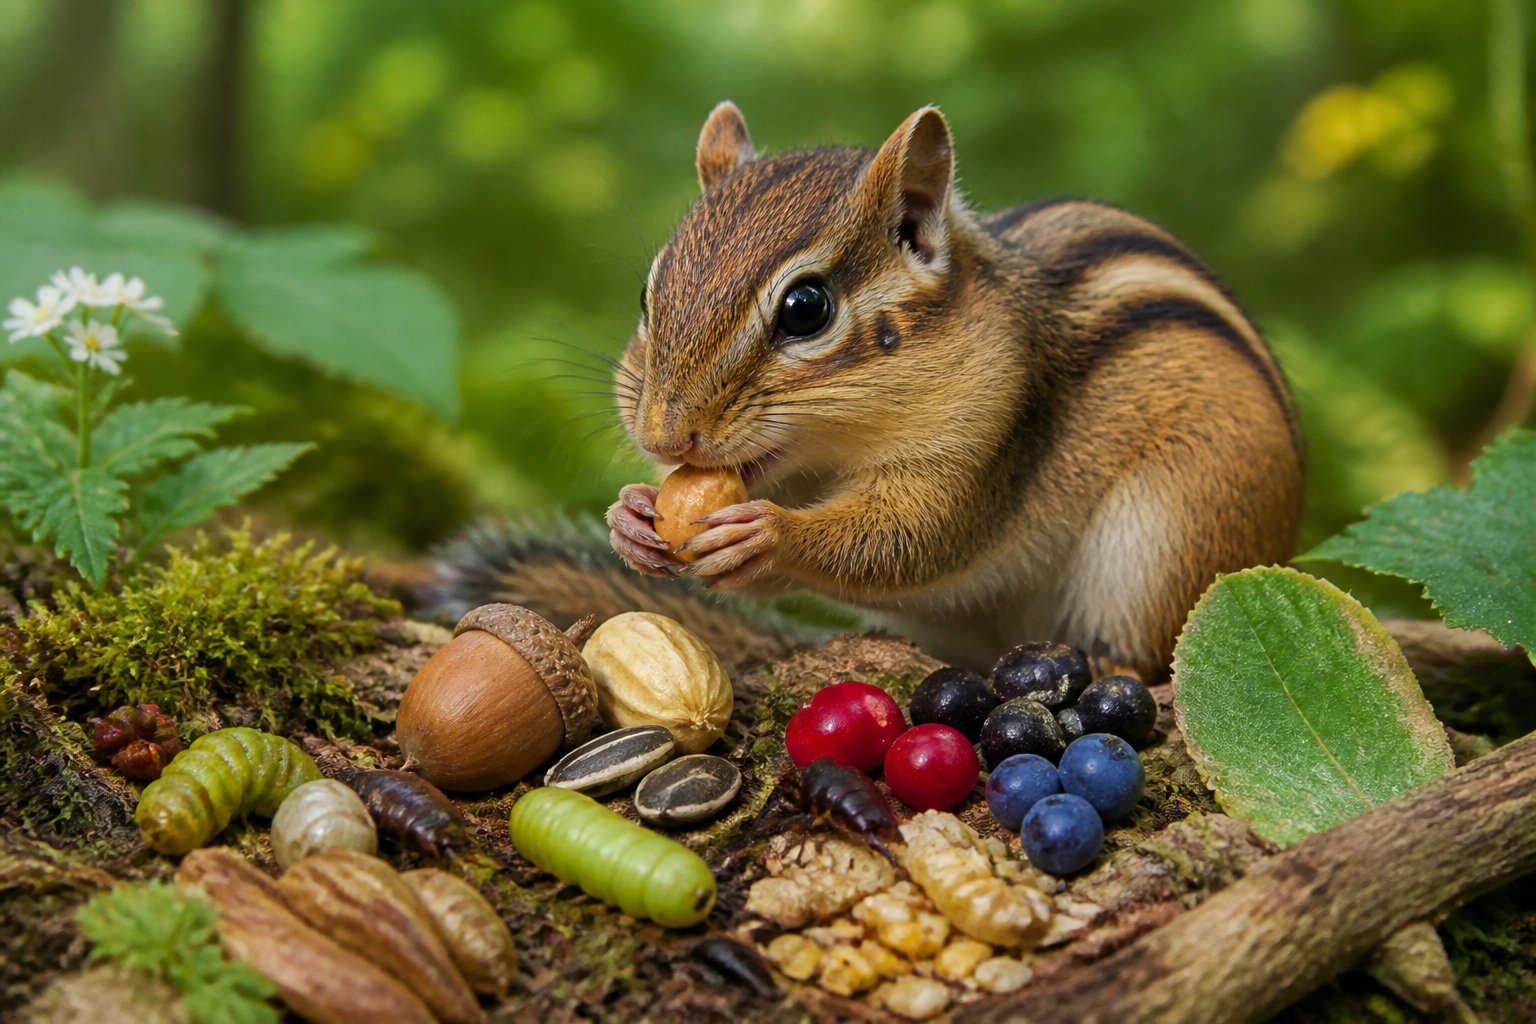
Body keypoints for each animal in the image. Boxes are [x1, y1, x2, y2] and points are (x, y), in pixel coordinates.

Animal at [600, 102, 1304, 681]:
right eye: (645, 299)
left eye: (806, 309)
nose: (663, 436)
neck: (831, 453)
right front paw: (629, 517)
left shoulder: (988, 432)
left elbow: (912, 538)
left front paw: (770, 533)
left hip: (1174, 536)